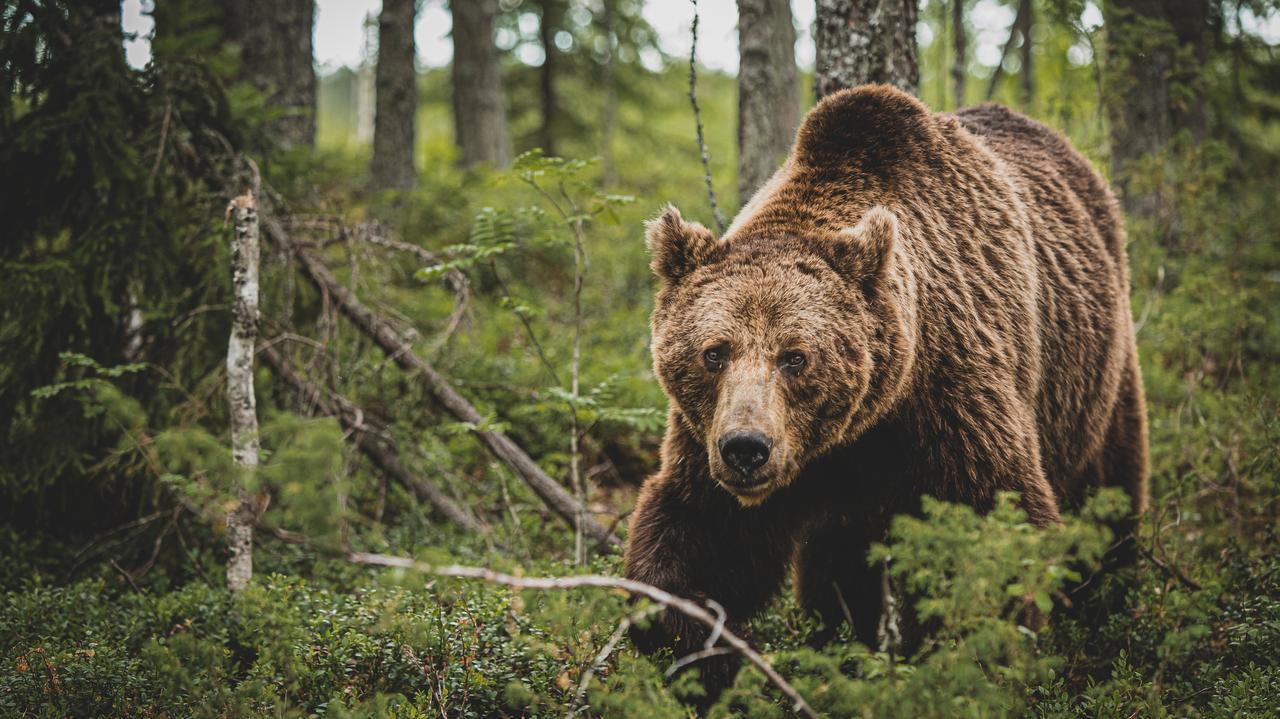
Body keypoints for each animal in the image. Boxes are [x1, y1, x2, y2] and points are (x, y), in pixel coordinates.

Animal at [624, 86, 1146, 665]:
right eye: (714, 352)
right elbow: (696, 532)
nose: (746, 449)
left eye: (795, 356)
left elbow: (995, 521)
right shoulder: (710, 436)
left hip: (1094, 374)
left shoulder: (951, 395)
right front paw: (713, 640)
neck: (865, 423)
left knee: (1107, 488)